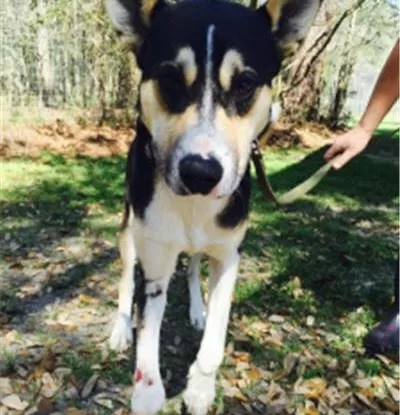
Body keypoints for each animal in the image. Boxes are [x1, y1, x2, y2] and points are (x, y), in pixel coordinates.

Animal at [107, 1, 322, 414]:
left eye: (245, 84)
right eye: (170, 78)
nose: (200, 173)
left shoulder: (228, 255)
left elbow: (217, 335)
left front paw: (200, 388)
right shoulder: (155, 261)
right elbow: (147, 330)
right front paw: (147, 391)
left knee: (193, 266)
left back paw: (196, 309)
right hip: (128, 230)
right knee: (127, 278)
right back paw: (120, 328)